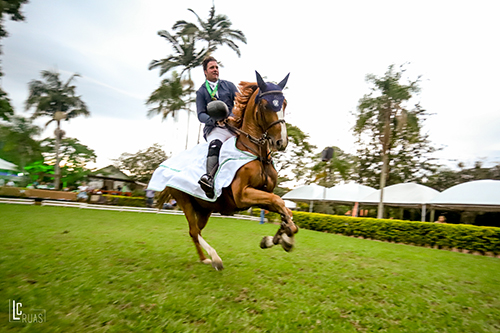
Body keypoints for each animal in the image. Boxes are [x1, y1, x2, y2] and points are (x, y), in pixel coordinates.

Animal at [157, 72, 296, 270]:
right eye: (265, 105)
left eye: (284, 103)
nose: (281, 142)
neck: (257, 154)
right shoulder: (242, 195)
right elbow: (279, 202)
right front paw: (283, 239)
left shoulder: (262, 195)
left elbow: (285, 211)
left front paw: (278, 238)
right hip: (185, 201)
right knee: (193, 230)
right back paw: (214, 258)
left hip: (204, 207)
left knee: (196, 231)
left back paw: (204, 259)